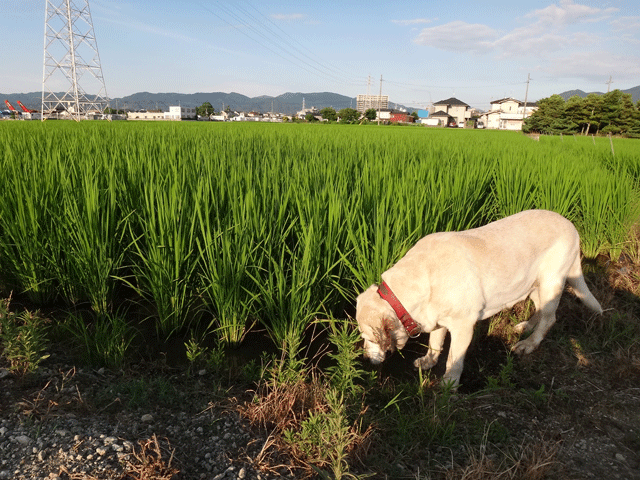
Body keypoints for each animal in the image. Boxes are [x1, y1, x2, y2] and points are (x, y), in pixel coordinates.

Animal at [358, 210, 604, 386]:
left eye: (367, 337)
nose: (366, 360)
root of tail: (571, 226)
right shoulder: (438, 320)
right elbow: (435, 343)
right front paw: (428, 362)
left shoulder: (463, 327)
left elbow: (453, 360)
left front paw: (448, 384)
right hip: (534, 285)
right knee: (541, 310)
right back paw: (526, 327)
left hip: (551, 282)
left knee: (549, 318)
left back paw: (528, 344)